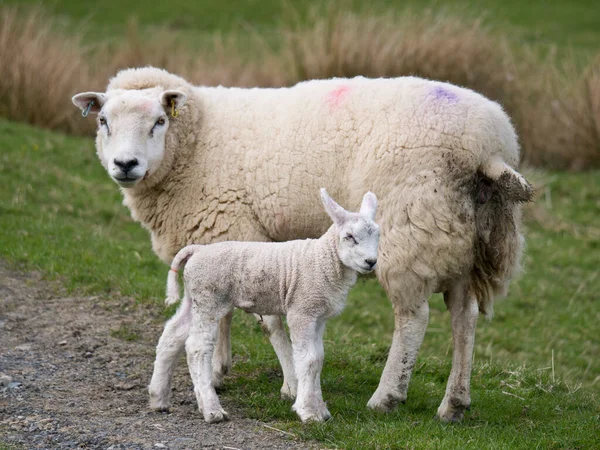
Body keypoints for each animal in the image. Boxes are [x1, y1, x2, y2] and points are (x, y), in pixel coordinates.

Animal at [148, 188, 378, 424]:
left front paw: (320, 409)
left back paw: (159, 398)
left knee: (172, 334)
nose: (371, 262)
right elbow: (309, 359)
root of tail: (197, 250)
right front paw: (308, 411)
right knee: (197, 347)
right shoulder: (302, 310)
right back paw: (212, 410)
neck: (323, 260)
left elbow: (318, 358)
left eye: (377, 235)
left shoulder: (318, 316)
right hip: (209, 299)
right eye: (349, 237)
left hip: (193, 298)